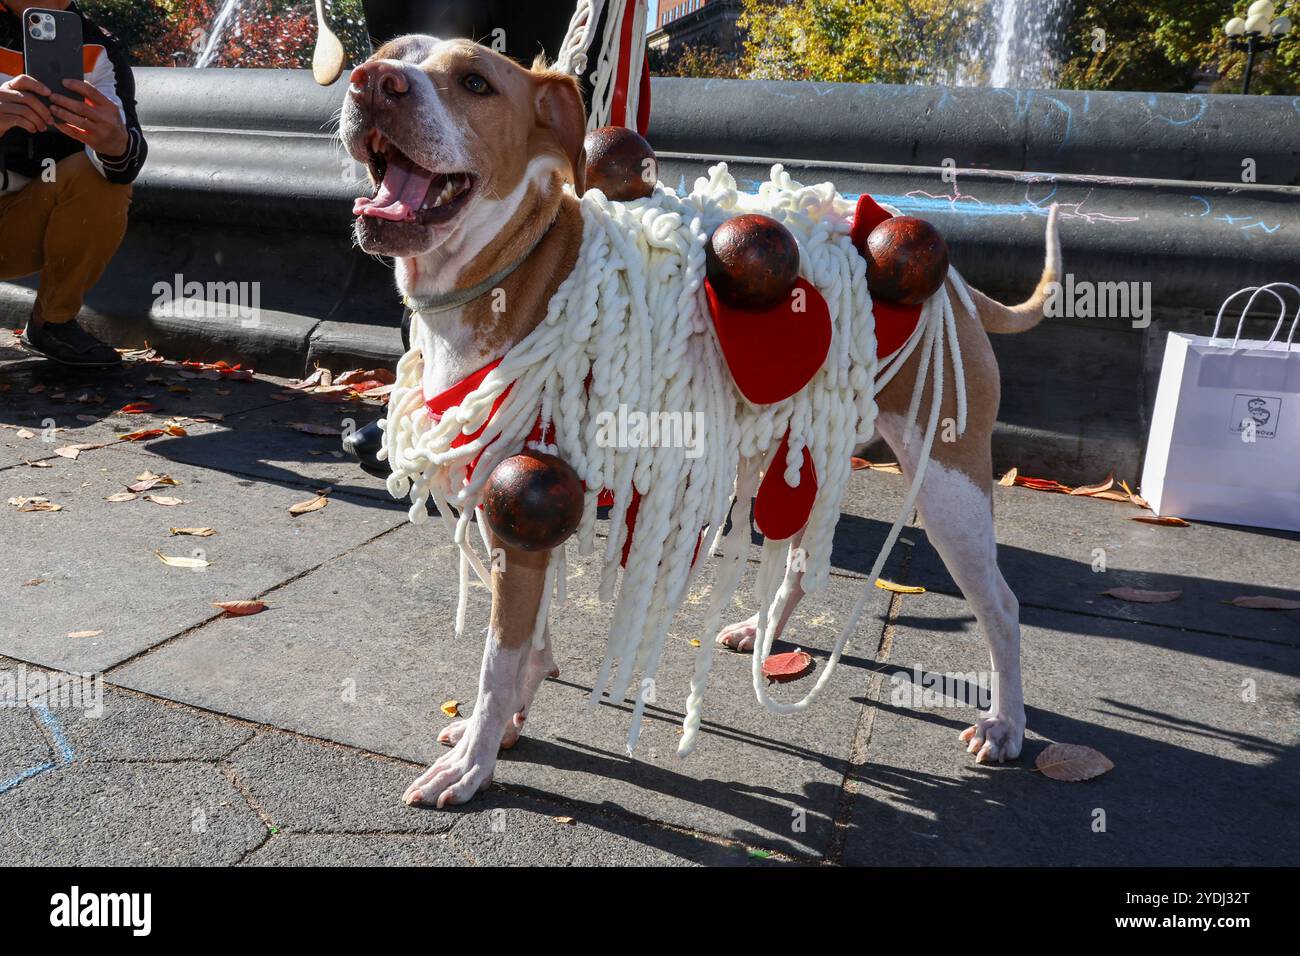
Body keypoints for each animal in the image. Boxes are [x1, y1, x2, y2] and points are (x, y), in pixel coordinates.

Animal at [340, 39, 1060, 816]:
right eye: (388, 55)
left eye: (475, 82)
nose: (372, 81)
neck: (521, 268)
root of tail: (955, 281)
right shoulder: (517, 509)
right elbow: (527, 642)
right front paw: (506, 723)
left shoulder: (524, 507)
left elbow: (498, 659)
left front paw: (473, 762)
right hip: (793, 449)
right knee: (798, 558)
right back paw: (761, 632)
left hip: (950, 483)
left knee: (1002, 605)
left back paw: (1007, 724)